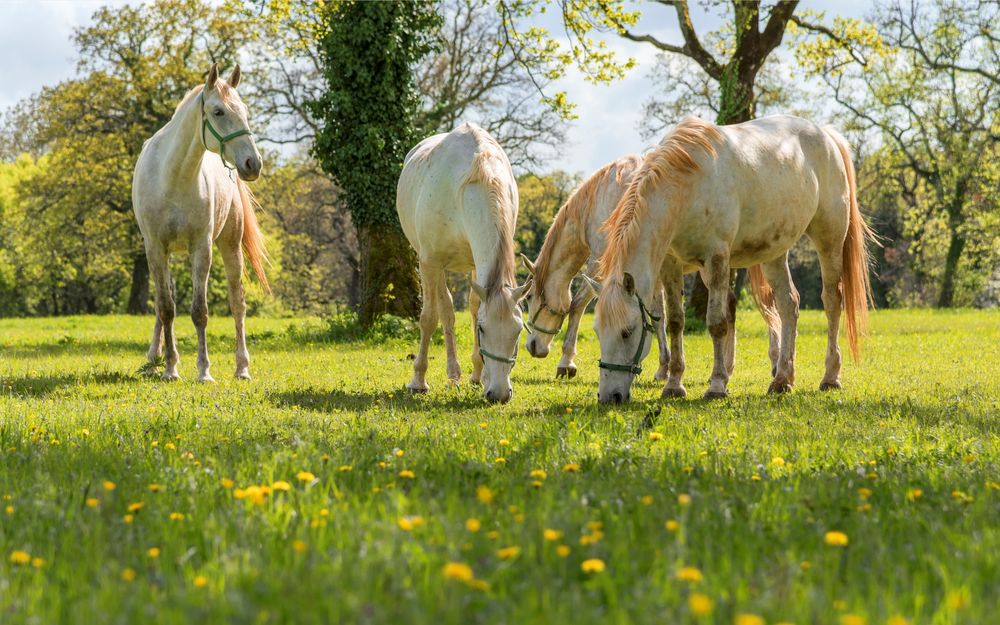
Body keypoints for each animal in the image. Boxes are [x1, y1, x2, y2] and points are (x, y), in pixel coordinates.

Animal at [133, 66, 268, 382]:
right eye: (218, 111)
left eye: (244, 111)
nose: (253, 163)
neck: (173, 177)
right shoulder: (155, 249)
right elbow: (166, 308)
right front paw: (170, 368)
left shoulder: (201, 249)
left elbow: (199, 311)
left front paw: (203, 370)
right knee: (163, 304)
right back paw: (153, 358)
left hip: (230, 246)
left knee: (237, 303)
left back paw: (242, 367)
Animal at [396, 122, 532, 404]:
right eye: (482, 330)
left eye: (518, 331)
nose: (499, 394)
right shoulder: (429, 262)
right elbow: (429, 318)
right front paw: (418, 381)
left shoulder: (479, 264)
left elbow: (474, 307)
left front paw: (479, 376)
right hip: (434, 265)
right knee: (445, 310)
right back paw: (452, 373)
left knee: (463, 306)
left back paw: (468, 375)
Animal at [592, 116, 876, 404]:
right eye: (597, 332)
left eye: (627, 331)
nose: (609, 396)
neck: (688, 185)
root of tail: (826, 135)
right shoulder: (670, 264)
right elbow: (675, 322)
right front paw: (673, 384)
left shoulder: (716, 257)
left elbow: (717, 322)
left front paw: (717, 385)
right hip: (775, 253)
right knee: (789, 305)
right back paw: (782, 379)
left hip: (829, 240)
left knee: (832, 302)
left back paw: (830, 376)